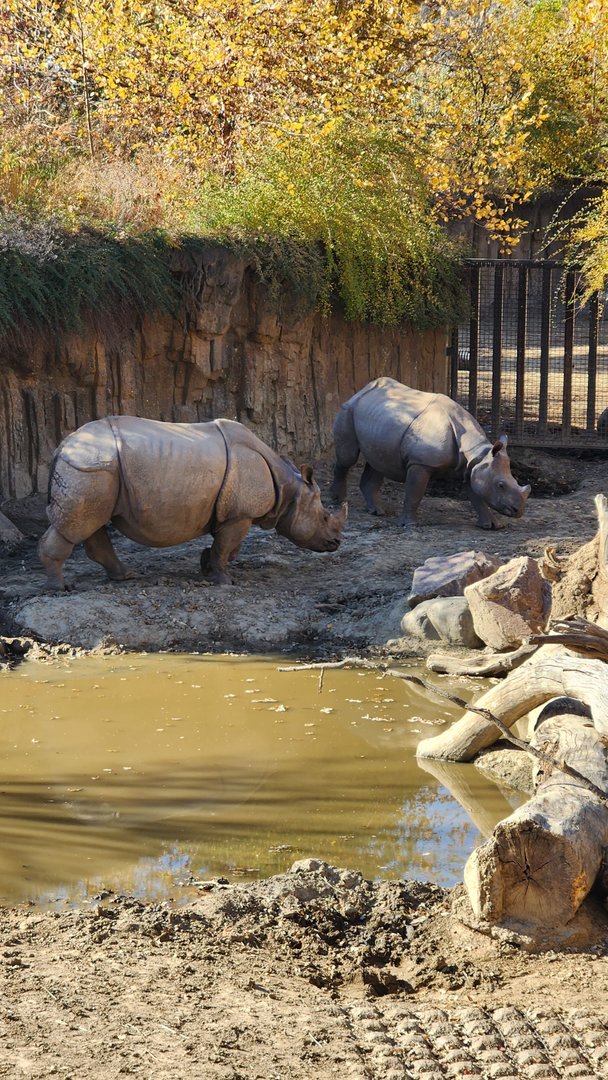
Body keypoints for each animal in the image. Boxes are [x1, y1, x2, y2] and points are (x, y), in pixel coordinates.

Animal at [38, 416, 347, 590]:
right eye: (324, 518)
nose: (336, 544)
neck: (289, 488)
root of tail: (63, 445)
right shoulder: (240, 514)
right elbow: (227, 546)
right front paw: (224, 582)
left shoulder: (232, 513)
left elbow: (227, 546)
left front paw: (206, 564)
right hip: (90, 468)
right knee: (77, 526)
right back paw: (61, 588)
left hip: (97, 471)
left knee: (92, 522)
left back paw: (126, 576)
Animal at [330, 377, 530, 529]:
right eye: (501, 485)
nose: (518, 511)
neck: (478, 452)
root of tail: (362, 389)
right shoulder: (420, 463)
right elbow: (415, 492)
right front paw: (410, 525)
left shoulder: (472, 467)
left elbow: (477, 496)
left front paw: (493, 526)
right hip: (348, 409)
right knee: (347, 458)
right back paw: (337, 501)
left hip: (378, 419)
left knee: (379, 462)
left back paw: (378, 511)